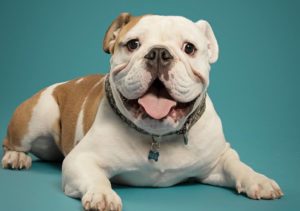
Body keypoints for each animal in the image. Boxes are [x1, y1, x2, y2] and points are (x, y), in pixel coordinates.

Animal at [1, 12, 282, 211]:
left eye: (189, 48)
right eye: (133, 44)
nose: (158, 52)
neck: (158, 137)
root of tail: (64, 84)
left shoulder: (218, 160)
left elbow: (238, 166)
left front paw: (259, 180)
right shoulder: (80, 160)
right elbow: (96, 176)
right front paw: (103, 194)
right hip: (40, 113)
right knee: (12, 142)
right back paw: (16, 157)